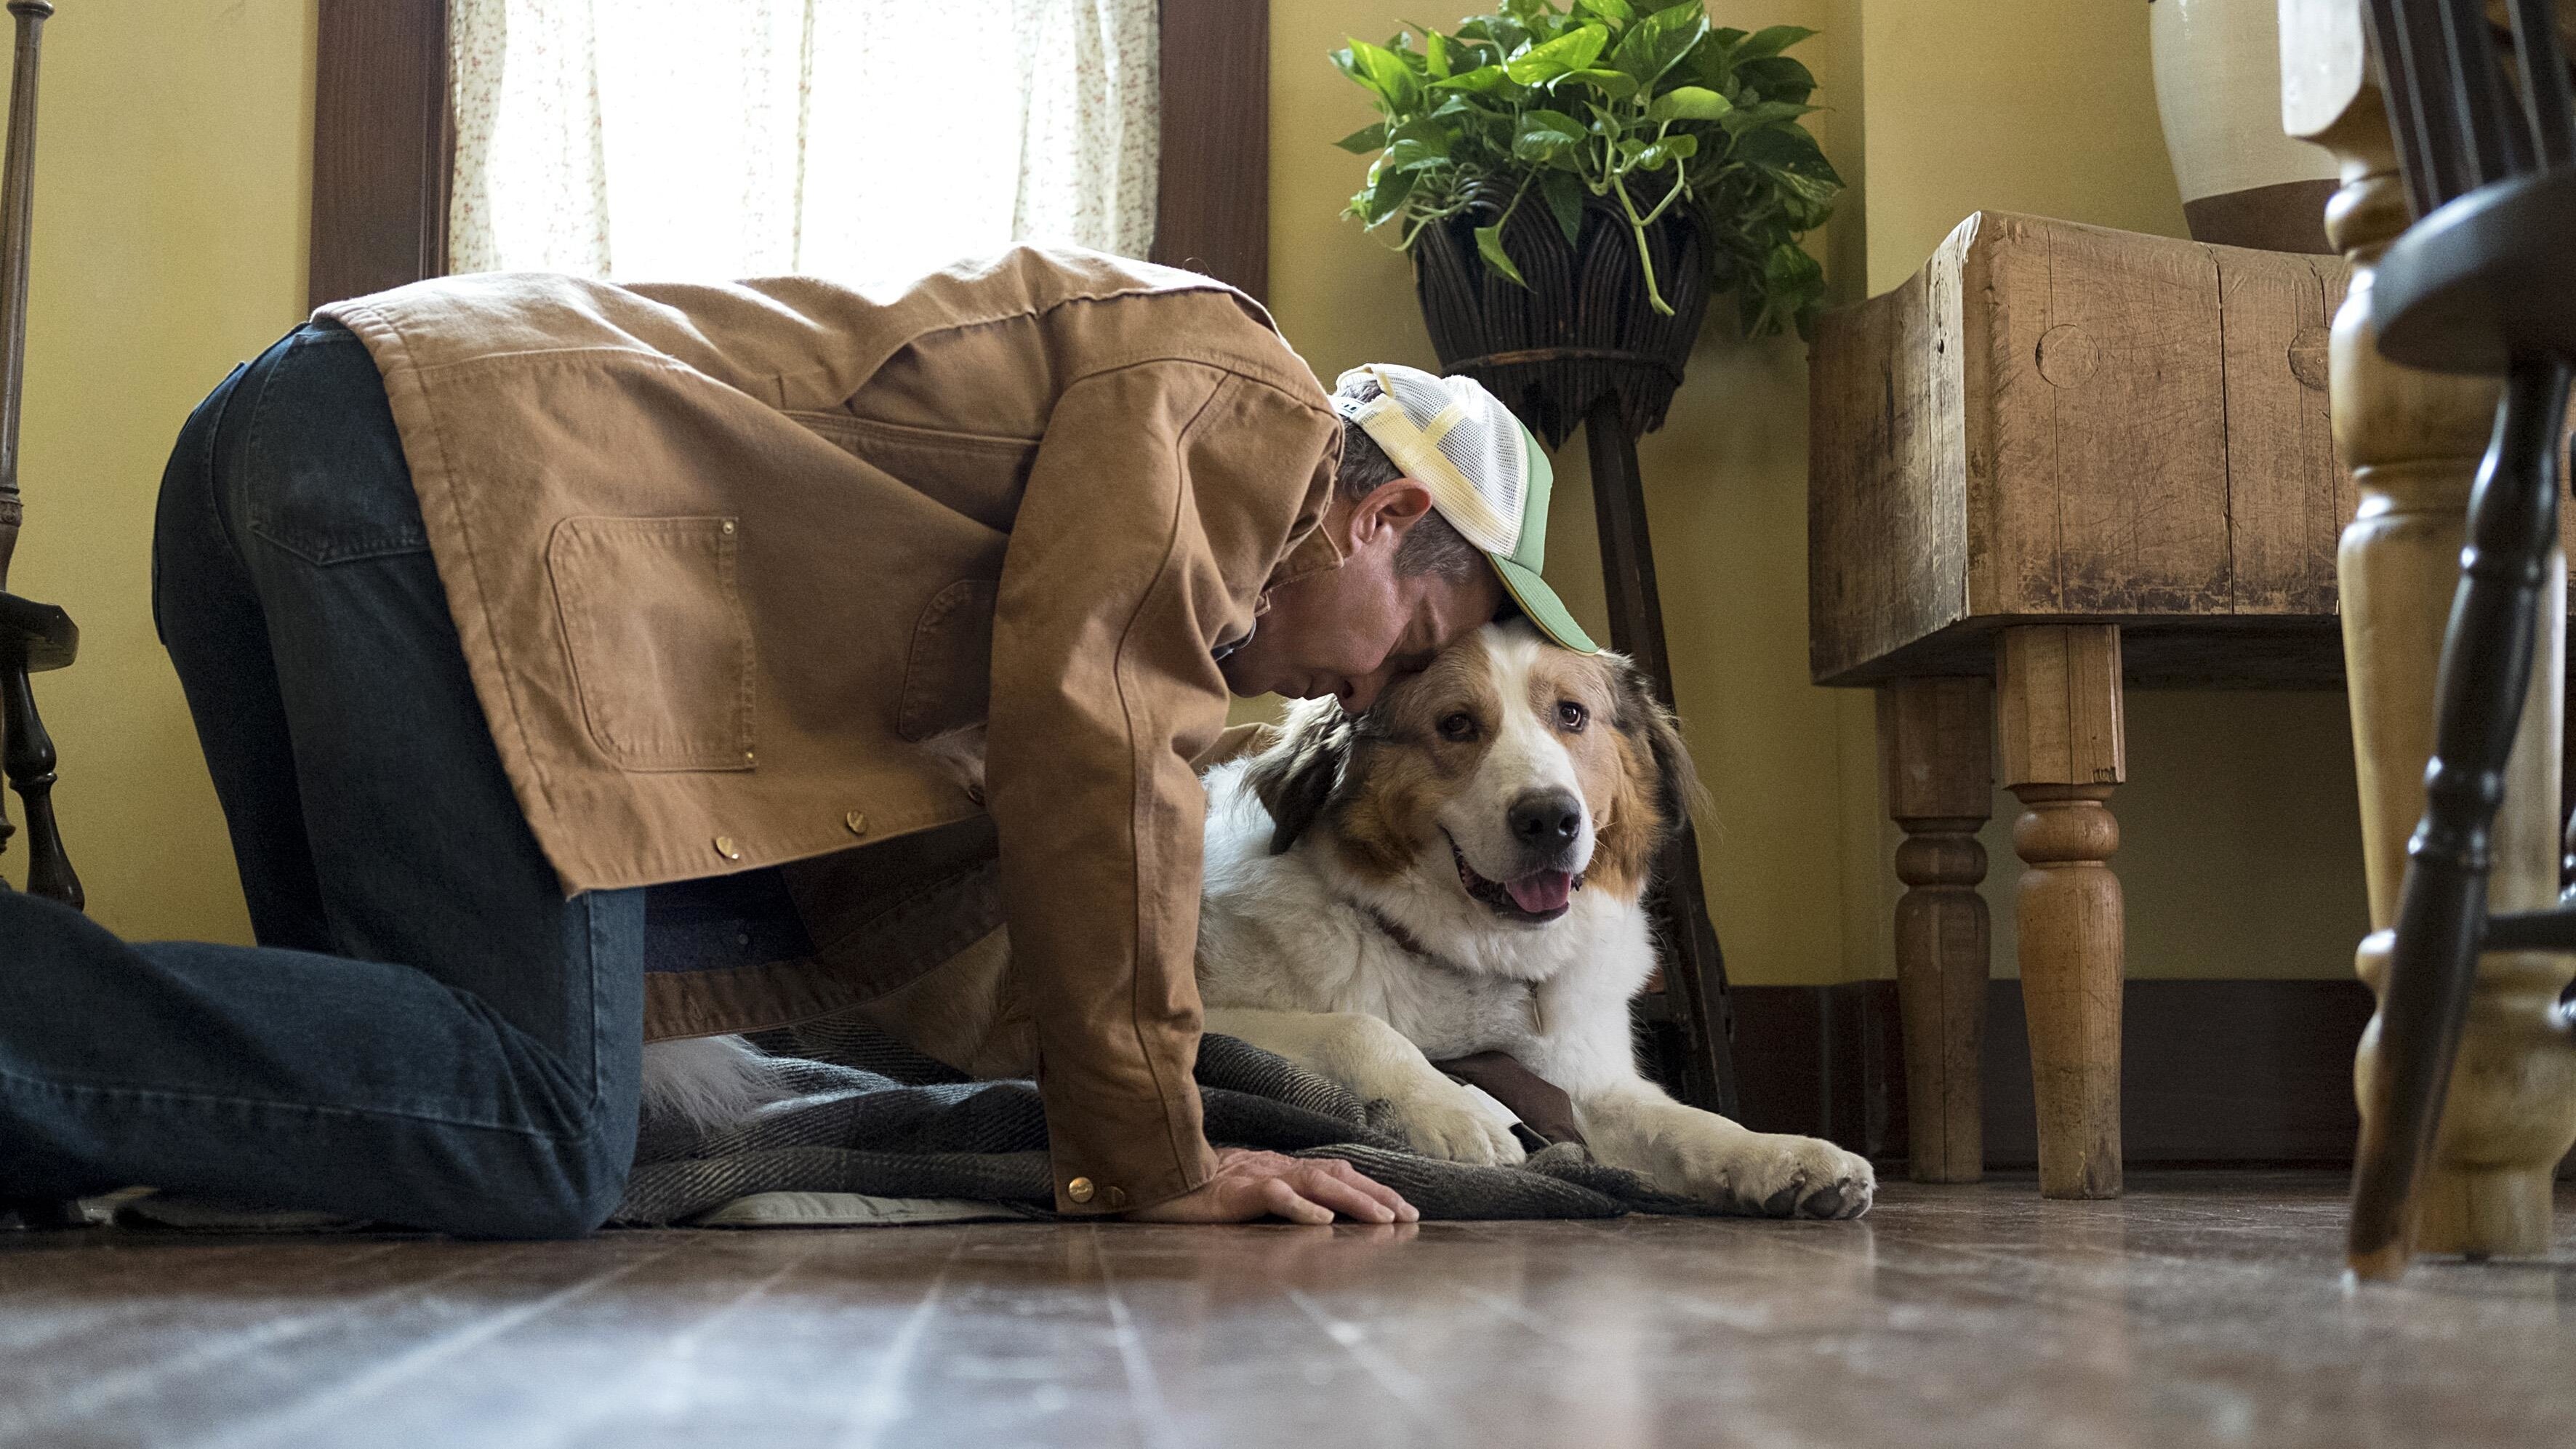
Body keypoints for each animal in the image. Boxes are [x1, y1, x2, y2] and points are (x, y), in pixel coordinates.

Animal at [638, 617, 1875, 1219]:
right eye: (1456, 727)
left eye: (1570, 716)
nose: (1549, 820)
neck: (1449, 952)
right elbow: (1359, 1028)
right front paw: (1456, 1115)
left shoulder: (1585, 1073)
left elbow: (1679, 1123)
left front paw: (1785, 1158)